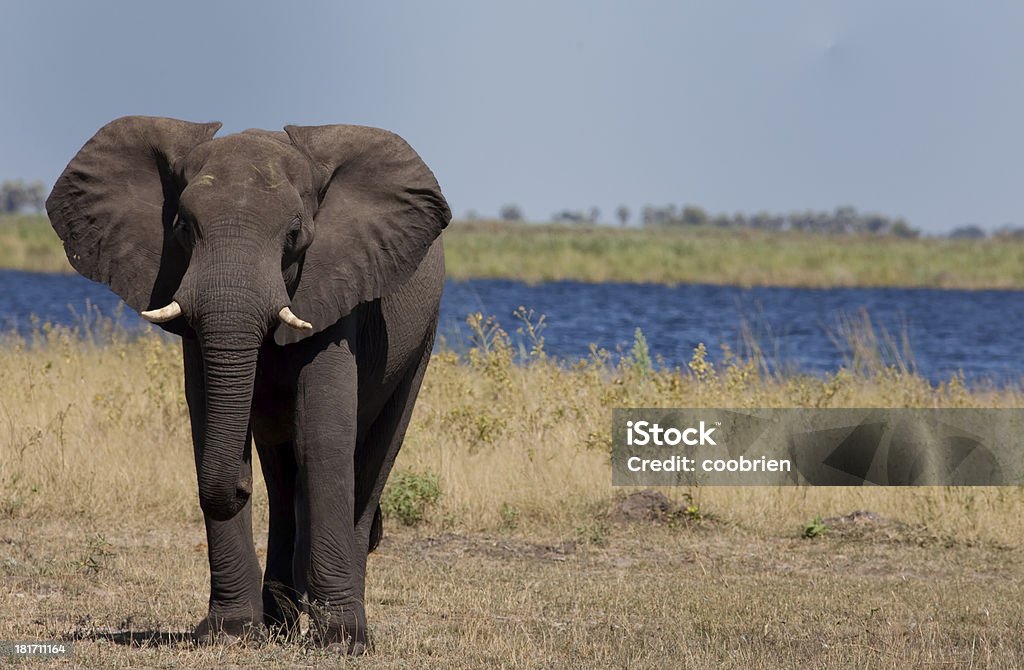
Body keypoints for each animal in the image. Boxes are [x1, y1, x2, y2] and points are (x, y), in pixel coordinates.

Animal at [46, 116, 450, 655]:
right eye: (182, 228)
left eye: (295, 234)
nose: (238, 489)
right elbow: (207, 423)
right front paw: (231, 633)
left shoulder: (337, 282)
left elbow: (322, 435)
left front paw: (340, 641)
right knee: (281, 475)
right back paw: (281, 624)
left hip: (421, 338)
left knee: (373, 456)